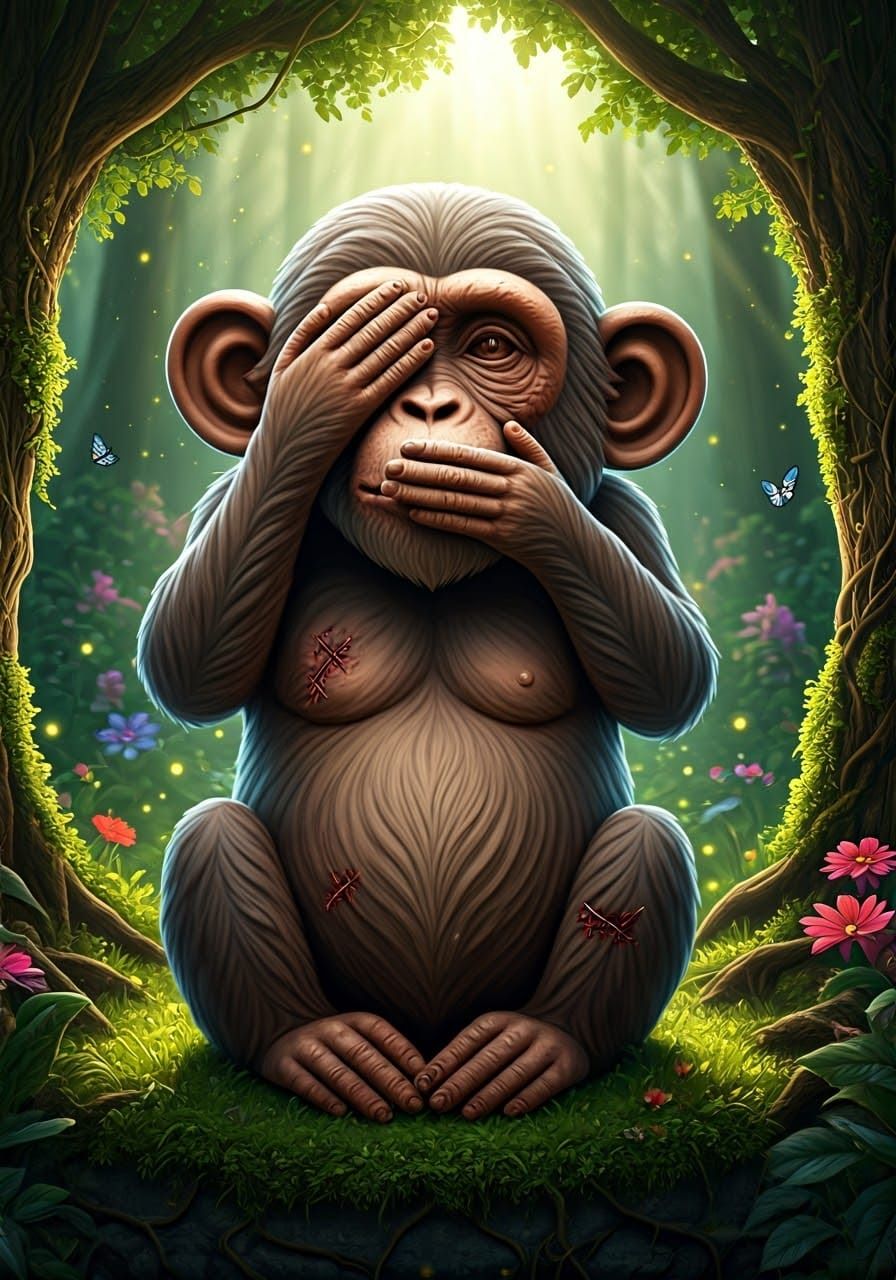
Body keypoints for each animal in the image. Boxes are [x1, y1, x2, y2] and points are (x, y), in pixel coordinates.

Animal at [137, 182, 717, 1124]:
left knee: (651, 839)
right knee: (209, 837)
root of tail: (429, 1045)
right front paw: (314, 396)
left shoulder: (628, 512)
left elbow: (674, 681)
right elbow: (185, 665)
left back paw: (534, 1047)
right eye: (373, 325)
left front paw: (532, 503)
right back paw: (317, 1047)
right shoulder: (225, 497)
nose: (432, 408)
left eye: (492, 346)